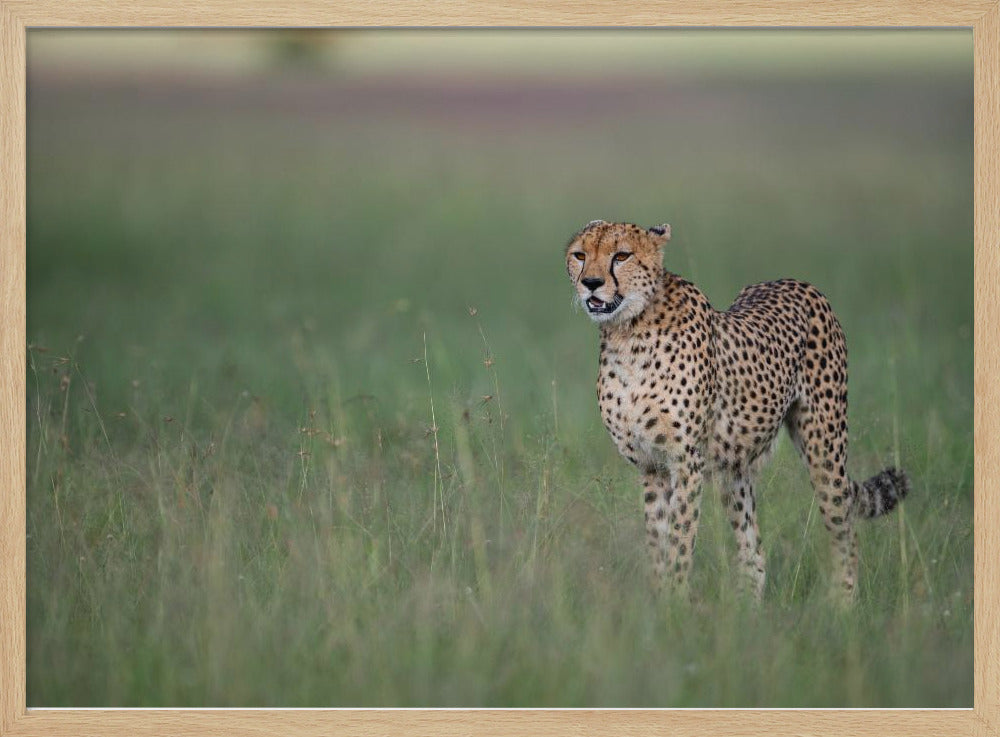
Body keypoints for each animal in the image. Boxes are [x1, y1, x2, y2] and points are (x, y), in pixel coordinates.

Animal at [565, 219, 909, 599]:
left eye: (622, 255)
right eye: (580, 255)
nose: (590, 283)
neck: (627, 333)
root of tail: (794, 281)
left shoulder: (686, 462)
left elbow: (680, 542)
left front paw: (675, 604)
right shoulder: (652, 466)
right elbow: (658, 542)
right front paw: (658, 601)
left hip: (824, 448)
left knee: (844, 528)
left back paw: (843, 605)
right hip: (735, 470)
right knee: (754, 553)